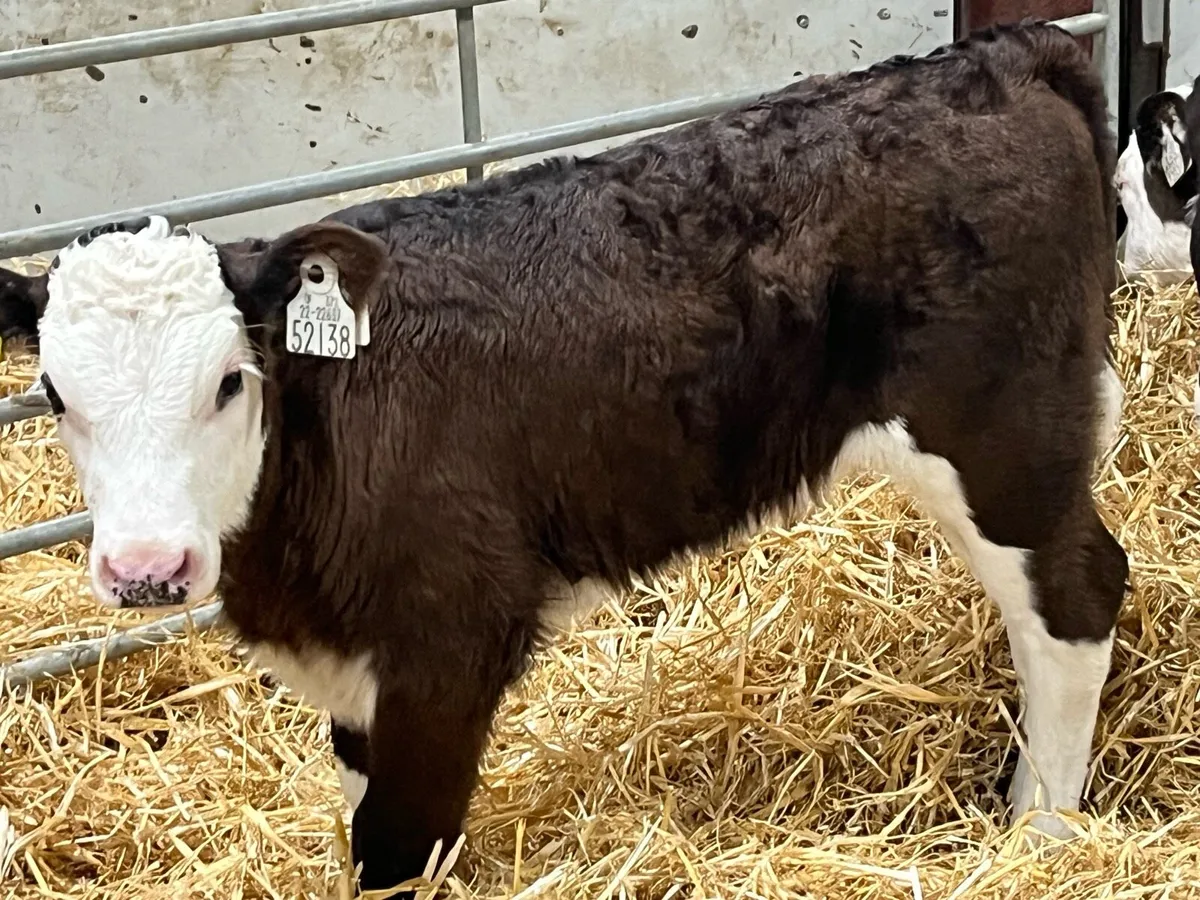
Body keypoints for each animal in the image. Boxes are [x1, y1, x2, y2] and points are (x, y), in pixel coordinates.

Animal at [0, 21, 1127, 894]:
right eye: (54, 394)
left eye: (231, 381)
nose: (148, 571)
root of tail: (1000, 53)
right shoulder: (359, 682)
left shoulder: (451, 643)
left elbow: (399, 851)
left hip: (1002, 435)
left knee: (1076, 599)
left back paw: (1041, 832)